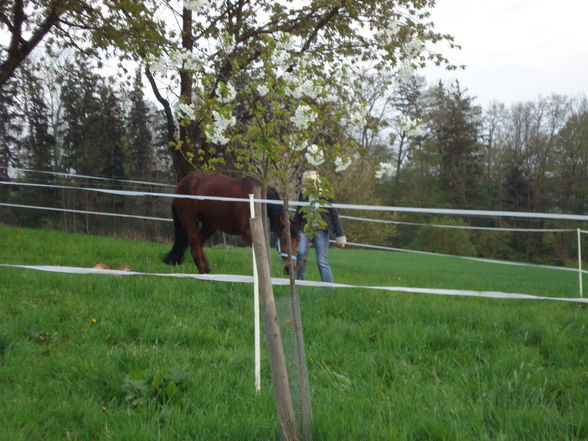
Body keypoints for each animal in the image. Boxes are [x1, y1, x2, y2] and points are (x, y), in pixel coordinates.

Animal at [163, 170, 298, 274]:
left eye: (298, 241)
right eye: (284, 240)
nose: (290, 270)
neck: (258, 200)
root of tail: (181, 185)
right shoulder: (248, 233)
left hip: (210, 225)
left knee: (199, 243)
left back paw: (207, 270)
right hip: (190, 222)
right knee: (195, 246)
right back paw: (204, 275)